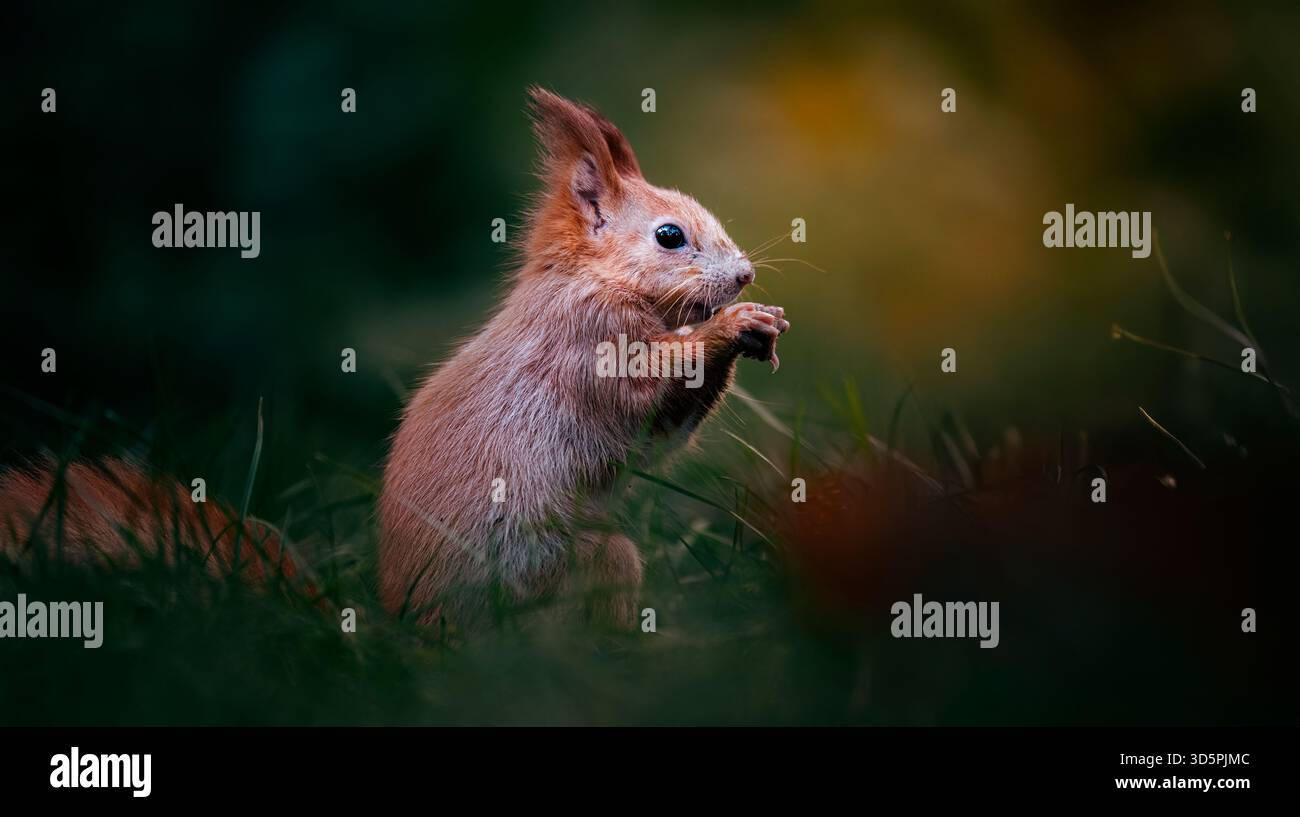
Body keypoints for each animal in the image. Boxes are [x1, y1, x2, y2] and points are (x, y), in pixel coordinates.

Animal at [377, 88, 789, 627]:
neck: (591, 279)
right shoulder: (588, 341)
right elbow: (643, 394)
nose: (746, 275)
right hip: (572, 565)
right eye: (670, 236)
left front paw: (762, 325)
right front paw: (733, 324)